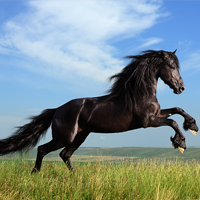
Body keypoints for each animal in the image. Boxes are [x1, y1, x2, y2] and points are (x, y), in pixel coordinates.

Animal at [0, 49, 198, 173]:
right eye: (172, 66)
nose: (181, 88)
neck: (140, 93)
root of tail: (57, 110)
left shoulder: (157, 114)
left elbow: (177, 109)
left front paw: (193, 126)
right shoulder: (148, 121)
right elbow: (172, 121)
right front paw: (180, 143)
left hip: (80, 135)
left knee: (65, 154)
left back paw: (76, 176)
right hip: (65, 137)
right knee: (43, 149)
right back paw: (35, 173)